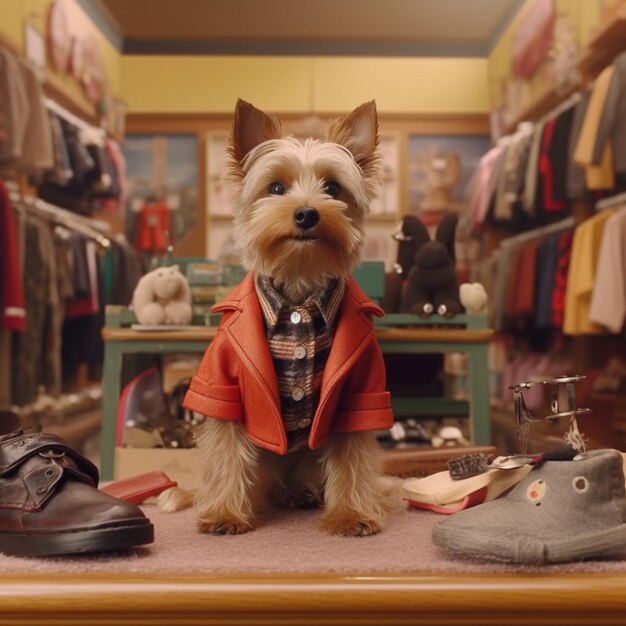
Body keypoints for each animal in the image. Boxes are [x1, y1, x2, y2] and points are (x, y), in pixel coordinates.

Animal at [160, 100, 394, 532]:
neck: (299, 291)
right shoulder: (224, 385)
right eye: (276, 188)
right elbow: (226, 451)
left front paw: (351, 514)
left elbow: (351, 457)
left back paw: (304, 493)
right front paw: (224, 512)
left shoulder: (358, 392)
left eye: (333, 188)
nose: (306, 214)